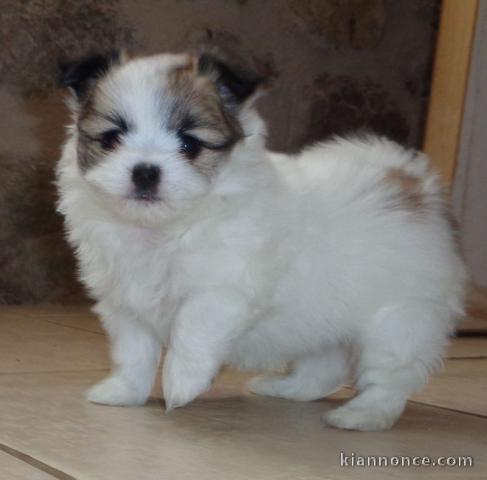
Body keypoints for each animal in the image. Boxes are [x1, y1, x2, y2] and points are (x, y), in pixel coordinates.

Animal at [57, 51, 468, 432]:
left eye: (189, 144)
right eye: (112, 138)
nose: (145, 171)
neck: (163, 228)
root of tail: (415, 184)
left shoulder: (223, 289)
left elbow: (192, 328)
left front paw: (181, 383)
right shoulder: (125, 304)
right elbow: (134, 353)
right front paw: (124, 392)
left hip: (398, 318)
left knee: (391, 374)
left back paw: (363, 415)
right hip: (326, 317)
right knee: (325, 365)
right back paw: (287, 388)